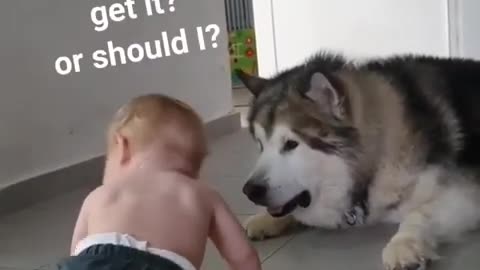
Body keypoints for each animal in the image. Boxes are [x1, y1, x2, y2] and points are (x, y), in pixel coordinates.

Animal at [237, 52, 480, 270]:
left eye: (290, 144)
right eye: (260, 144)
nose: (250, 190)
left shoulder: (466, 194)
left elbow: (418, 213)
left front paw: (404, 244)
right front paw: (265, 219)